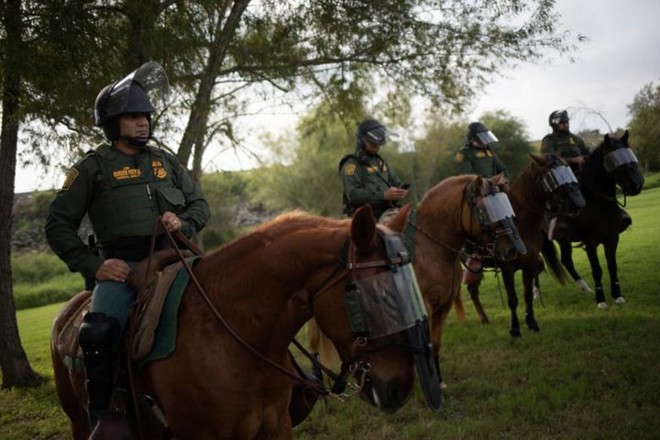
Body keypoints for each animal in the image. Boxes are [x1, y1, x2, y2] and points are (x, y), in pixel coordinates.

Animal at [310, 175, 524, 382]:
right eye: (486, 209)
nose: (513, 249)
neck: (430, 247)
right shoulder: (424, 309)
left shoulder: (443, 306)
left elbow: (435, 343)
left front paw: (438, 379)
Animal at [454, 153, 588, 336]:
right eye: (552, 177)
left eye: (567, 171)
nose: (578, 204)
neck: (521, 221)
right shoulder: (507, 268)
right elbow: (512, 299)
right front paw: (515, 328)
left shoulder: (530, 264)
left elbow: (526, 295)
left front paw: (531, 322)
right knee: (472, 290)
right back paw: (483, 318)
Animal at [540, 132, 644, 308]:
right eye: (615, 160)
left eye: (629, 154)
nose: (637, 185)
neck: (597, 202)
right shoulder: (590, 242)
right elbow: (597, 269)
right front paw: (601, 300)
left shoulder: (612, 238)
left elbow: (612, 266)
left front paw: (618, 296)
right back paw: (535, 294)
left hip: (563, 240)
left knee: (566, 260)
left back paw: (585, 288)